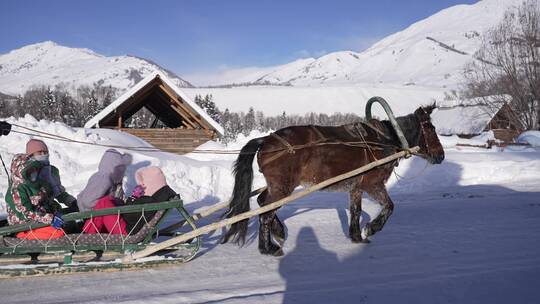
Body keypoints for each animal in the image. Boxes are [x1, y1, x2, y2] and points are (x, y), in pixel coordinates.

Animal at [221, 104, 446, 254]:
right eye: (431, 129)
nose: (441, 155)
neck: (385, 139)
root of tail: (266, 140)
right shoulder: (373, 184)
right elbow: (389, 207)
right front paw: (371, 228)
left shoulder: (356, 187)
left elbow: (355, 211)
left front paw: (356, 236)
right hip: (283, 187)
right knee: (265, 213)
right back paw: (268, 247)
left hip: (277, 186)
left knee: (261, 202)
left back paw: (278, 233)